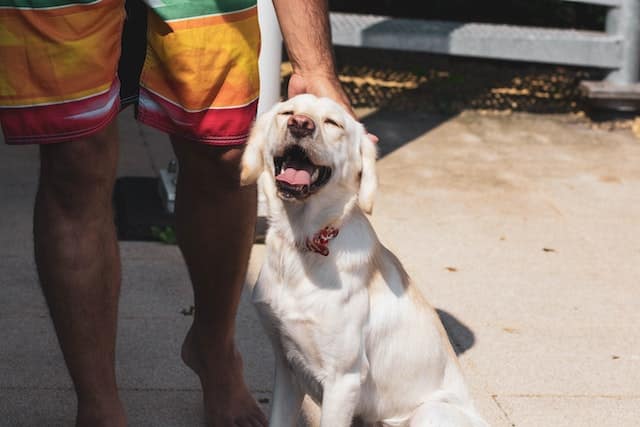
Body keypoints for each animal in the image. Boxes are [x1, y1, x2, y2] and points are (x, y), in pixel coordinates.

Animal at [242, 94, 488, 427]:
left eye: (333, 123)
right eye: (287, 112)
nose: (300, 124)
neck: (302, 243)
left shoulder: (342, 380)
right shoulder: (287, 365)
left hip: (428, 412)